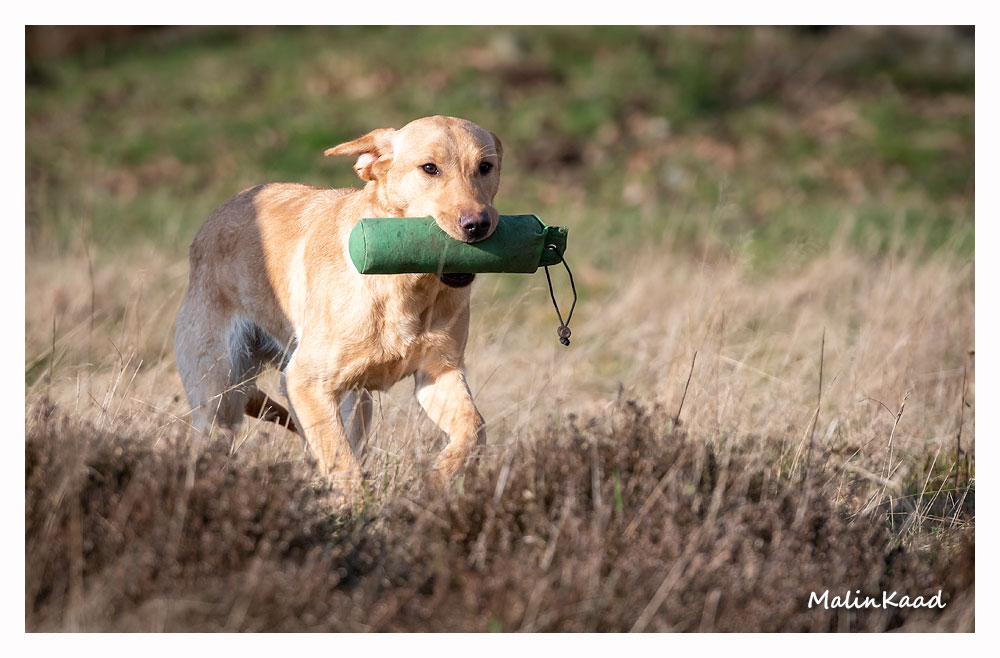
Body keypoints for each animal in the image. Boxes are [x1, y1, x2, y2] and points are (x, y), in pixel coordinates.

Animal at [175, 115, 502, 498]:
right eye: (429, 168)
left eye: (485, 167)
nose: (477, 225)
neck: (407, 286)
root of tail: (212, 218)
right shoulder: (304, 381)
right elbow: (343, 465)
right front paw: (360, 508)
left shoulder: (439, 373)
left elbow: (473, 429)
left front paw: (438, 480)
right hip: (221, 395)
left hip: (353, 403)